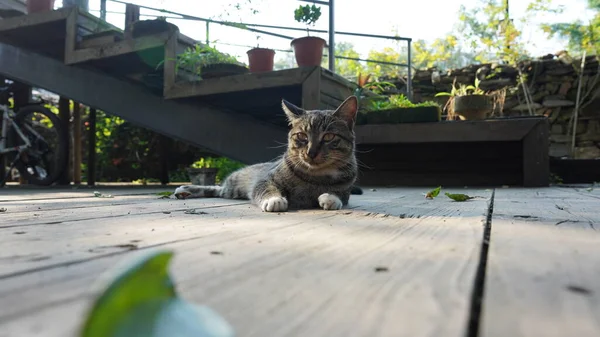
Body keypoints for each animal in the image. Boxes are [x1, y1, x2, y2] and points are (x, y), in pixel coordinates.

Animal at [175, 94, 360, 211]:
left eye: (328, 136)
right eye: (302, 136)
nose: (311, 152)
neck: (316, 176)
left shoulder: (346, 189)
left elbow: (340, 194)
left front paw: (331, 198)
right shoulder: (265, 179)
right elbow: (266, 188)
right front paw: (275, 199)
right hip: (234, 185)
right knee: (216, 187)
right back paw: (185, 189)